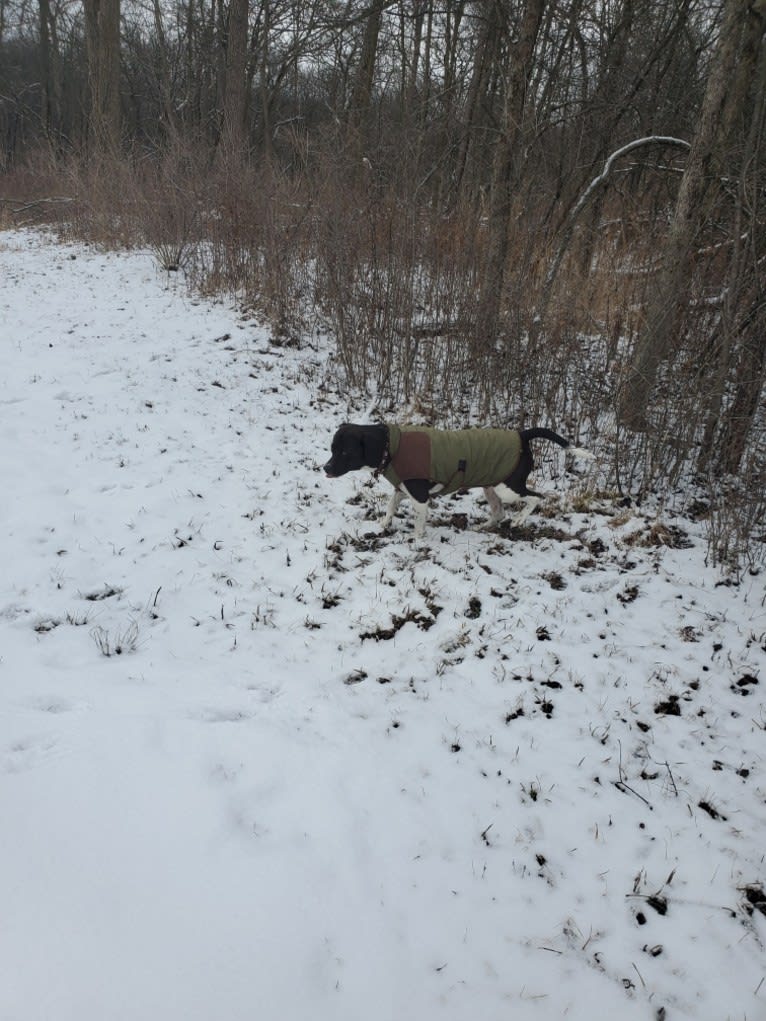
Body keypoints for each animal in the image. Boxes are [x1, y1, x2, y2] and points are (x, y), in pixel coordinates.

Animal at [324, 422, 592, 539]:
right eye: (332, 449)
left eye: (345, 452)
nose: (325, 468)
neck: (391, 446)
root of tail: (522, 435)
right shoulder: (402, 489)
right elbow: (391, 507)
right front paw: (383, 524)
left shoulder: (420, 498)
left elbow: (419, 526)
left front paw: (416, 542)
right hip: (490, 486)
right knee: (499, 513)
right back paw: (482, 528)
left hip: (507, 487)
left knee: (537, 497)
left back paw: (519, 520)